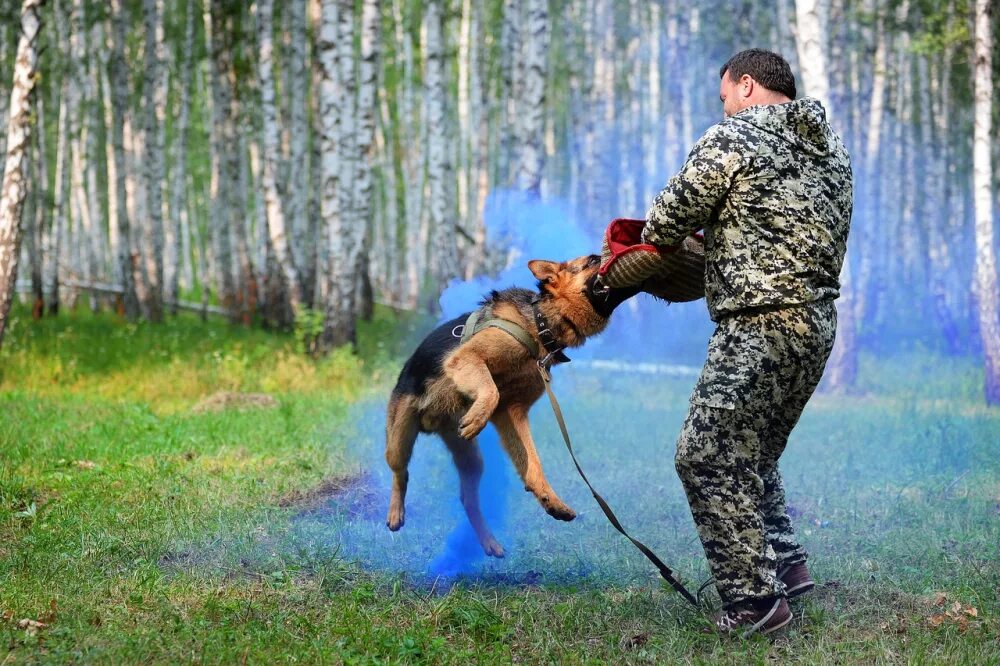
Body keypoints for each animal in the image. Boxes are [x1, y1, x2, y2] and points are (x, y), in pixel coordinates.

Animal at [386, 254, 636, 556]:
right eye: (592, 261)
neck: (540, 325)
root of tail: (431, 423)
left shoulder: (512, 412)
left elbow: (532, 462)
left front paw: (550, 499)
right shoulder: (469, 358)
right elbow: (490, 390)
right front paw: (478, 417)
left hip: (472, 461)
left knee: (468, 500)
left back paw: (489, 541)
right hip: (399, 439)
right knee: (401, 473)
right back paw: (395, 513)